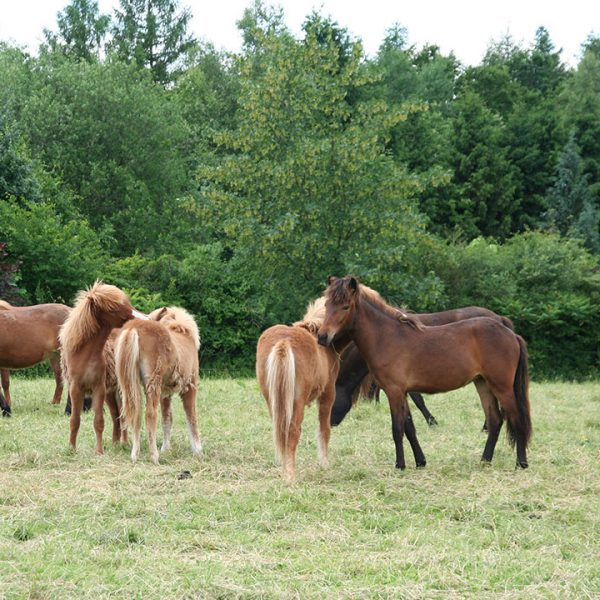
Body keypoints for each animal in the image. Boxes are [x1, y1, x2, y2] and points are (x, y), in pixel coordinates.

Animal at [59, 284, 146, 452]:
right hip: (110, 394)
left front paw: (99, 451)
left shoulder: (98, 388)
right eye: (113, 308)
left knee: (122, 416)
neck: (84, 355)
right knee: (115, 416)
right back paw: (115, 443)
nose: (144, 318)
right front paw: (71, 449)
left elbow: (98, 421)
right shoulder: (76, 389)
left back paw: (124, 443)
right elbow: (75, 420)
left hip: (119, 391)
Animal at [115, 304, 204, 464]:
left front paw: (166, 448)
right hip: (153, 383)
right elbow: (191, 417)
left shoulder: (165, 393)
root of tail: (133, 329)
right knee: (150, 414)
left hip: (131, 385)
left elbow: (167, 418)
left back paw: (135, 455)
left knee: (136, 413)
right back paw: (154, 456)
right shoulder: (190, 386)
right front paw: (198, 451)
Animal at [255, 298, 350, 486]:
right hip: (297, 401)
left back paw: (285, 470)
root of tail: (284, 341)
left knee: (280, 431)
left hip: (273, 400)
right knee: (292, 431)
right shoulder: (328, 394)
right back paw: (290, 476)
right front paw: (324, 464)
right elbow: (324, 429)